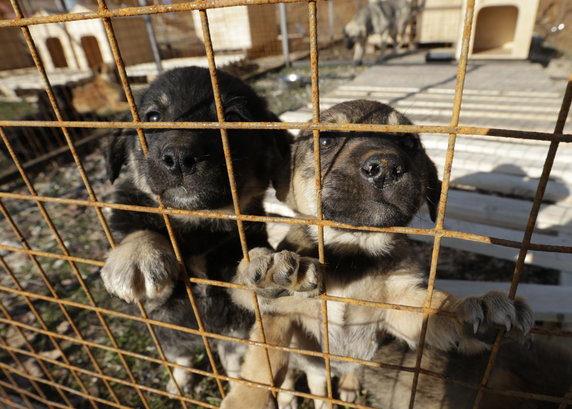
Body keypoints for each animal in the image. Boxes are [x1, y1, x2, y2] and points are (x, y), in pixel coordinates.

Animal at [99, 66, 292, 392]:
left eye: (234, 118)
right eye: (152, 117)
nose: (178, 159)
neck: (197, 224)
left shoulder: (239, 307)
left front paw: (264, 266)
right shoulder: (157, 303)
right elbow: (141, 230)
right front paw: (138, 258)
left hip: (231, 336)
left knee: (231, 360)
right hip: (171, 336)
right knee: (181, 357)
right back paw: (180, 381)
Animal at [221, 99, 536, 408]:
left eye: (409, 142)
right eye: (326, 140)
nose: (385, 167)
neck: (353, 251)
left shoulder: (400, 307)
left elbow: (434, 306)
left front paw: (474, 312)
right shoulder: (276, 314)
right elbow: (263, 362)